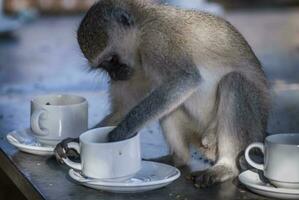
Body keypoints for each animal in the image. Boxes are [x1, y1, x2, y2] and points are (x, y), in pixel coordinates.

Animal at [55, 0, 270, 188]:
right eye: (104, 66)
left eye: (112, 60)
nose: (115, 76)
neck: (141, 27)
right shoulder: (135, 70)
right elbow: (123, 110)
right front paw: (74, 142)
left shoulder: (157, 41)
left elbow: (185, 79)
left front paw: (118, 134)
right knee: (170, 105)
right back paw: (177, 159)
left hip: (243, 131)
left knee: (234, 82)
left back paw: (225, 168)